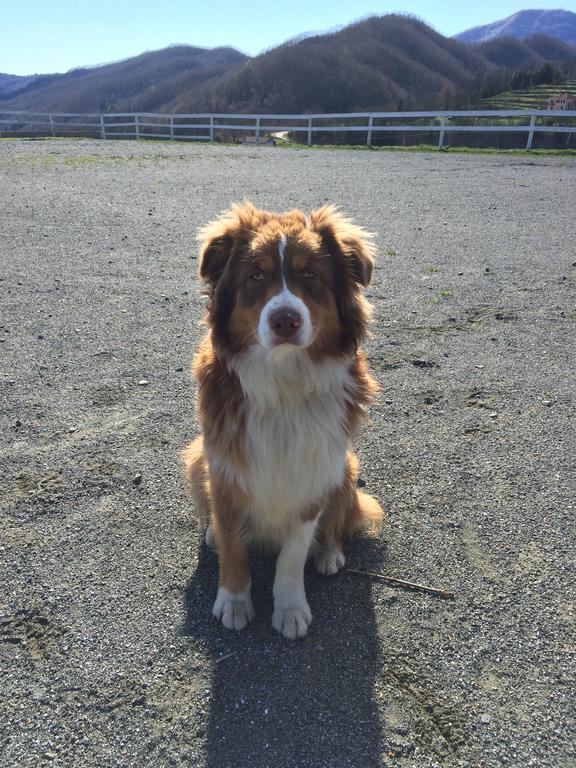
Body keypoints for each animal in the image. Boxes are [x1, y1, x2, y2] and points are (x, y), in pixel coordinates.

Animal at [184, 201, 382, 640]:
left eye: (310, 275)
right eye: (256, 275)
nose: (286, 320)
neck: (283, 380)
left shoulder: (312, 471)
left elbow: (292, 555)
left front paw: (290, 608)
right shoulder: (225, 465)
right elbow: (234, 545)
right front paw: (234, 600)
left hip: (345, 467)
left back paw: (329, 553)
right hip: (196, 457)